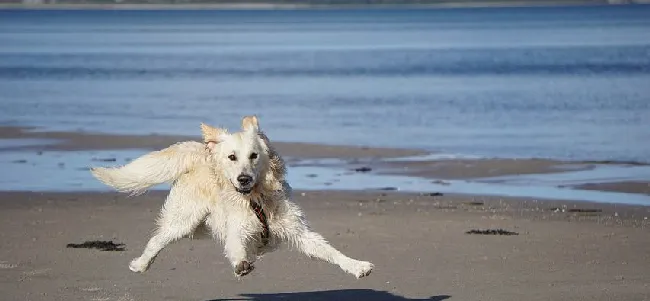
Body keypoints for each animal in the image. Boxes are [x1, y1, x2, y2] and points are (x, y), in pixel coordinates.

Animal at [92, 116, 374, 278]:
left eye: (254, 155)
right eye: (232, 157)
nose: (244, 179)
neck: (257, 200)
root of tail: (202, 154)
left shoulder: (298, 232)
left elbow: (329, 251)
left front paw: (356, 266)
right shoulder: (236, 229)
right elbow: (236, 246)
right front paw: (241, 264)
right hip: (183, 221)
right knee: (157, 239)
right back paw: (140, 264)